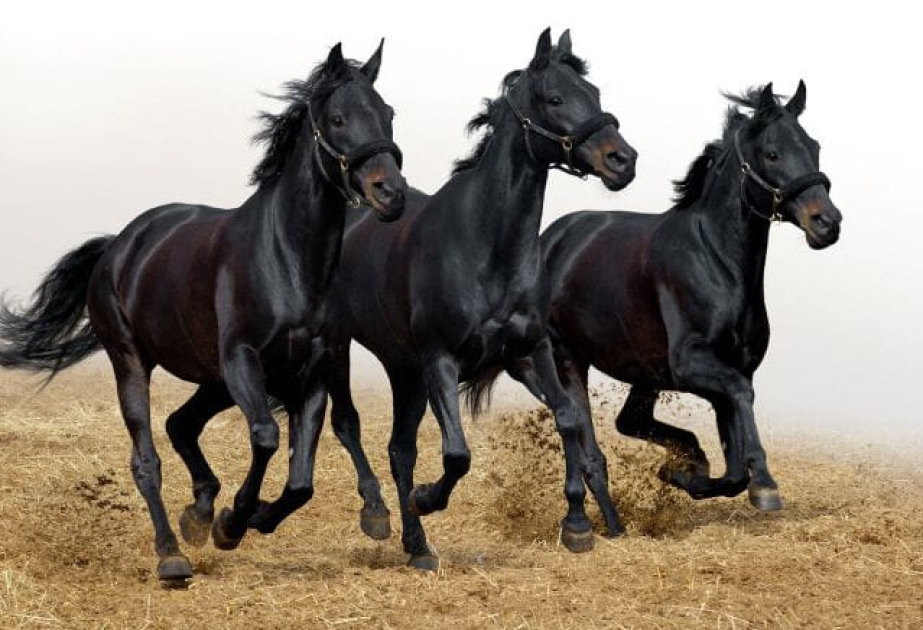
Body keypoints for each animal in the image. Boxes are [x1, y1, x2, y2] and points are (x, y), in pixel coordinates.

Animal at [0, 41, 407, 582]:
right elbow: (266, 437)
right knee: (147, 457)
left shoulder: (313, 371)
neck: (287, 260)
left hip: (211, 379)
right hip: (133, 361)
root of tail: (119, 246)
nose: (392, 193)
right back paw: (172, 554)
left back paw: (197, 514)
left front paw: (249, 517)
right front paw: (233, 521)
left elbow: (302, 479)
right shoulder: (242, 362)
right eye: (338, 118)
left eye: (388, 113)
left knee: (180, 424)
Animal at [319, 28, 637, 570]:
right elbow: (456, 454)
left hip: (404, 370)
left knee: (399, 449)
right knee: (348, 425)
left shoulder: (528, 352)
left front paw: (576, 525)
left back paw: (417, 546)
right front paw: (427, 498)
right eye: (555, 98)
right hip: (342, 348)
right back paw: (379, 514)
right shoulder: (441, 361)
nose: (623, 160)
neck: (486, 247)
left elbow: (569, 419)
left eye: (593, 94)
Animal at [510, 82, 841, 526]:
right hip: (569, 360)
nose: (827, 222)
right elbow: (741, 409)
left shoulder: (730, 371)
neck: (716, 262)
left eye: (814, 147)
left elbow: (733, 467)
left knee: (629, 421)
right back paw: (605, 526)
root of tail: (549, 240)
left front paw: (683, 474)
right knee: (588, 445)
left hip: (644, 374)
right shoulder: (692, 364)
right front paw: (765, 485)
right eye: (772, 153)